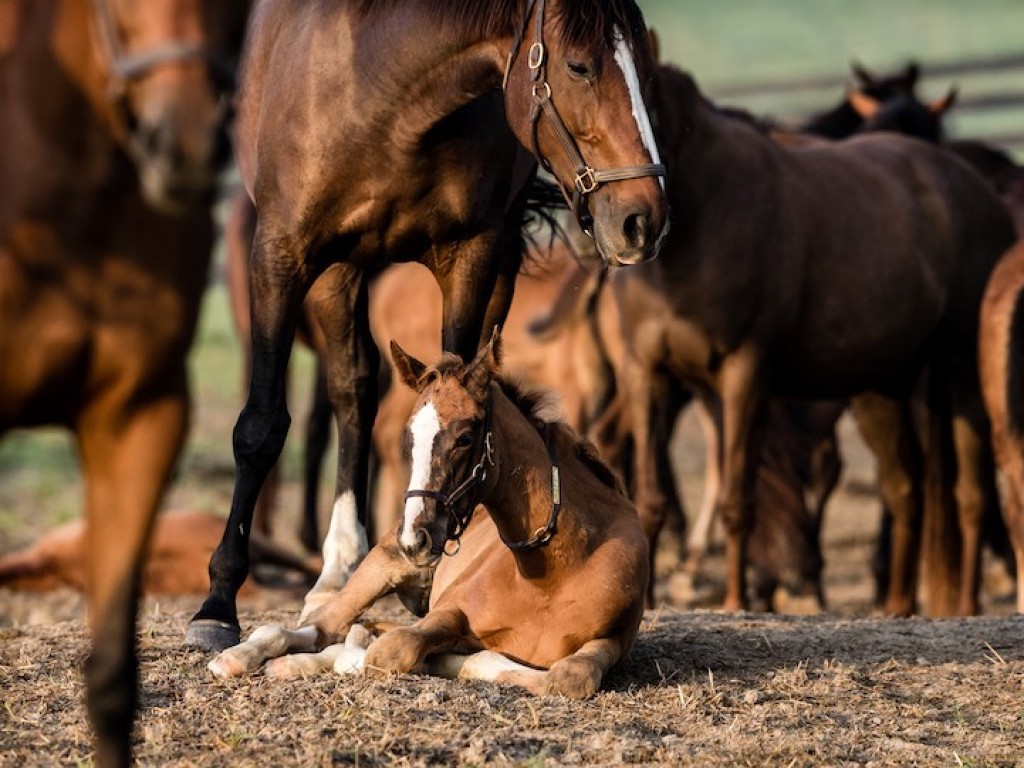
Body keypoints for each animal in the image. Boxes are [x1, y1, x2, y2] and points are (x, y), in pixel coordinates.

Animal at [187, 0, 667, 655]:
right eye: (579, 66)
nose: (644, 219)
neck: (380, 85)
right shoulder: (284, 255)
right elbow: (260, 428)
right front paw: (216, 603)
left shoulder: (471, 253)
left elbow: (460, 376)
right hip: (341, 272)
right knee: (353, 391)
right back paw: (336, 567)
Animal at [205, 333, 647, 700]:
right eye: (409, 438)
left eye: (466, 437)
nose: (414, 539)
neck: (550, 574)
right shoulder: (448, 611)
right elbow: (393, 649)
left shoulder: (612, 641)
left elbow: (569, 676)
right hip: (377, 567)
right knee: (315, 627)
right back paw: (238, 657)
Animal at [614, 64, 1015, 618]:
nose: (634, 223)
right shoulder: (648, 374)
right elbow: (650, 496)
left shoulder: (746, 377)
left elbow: (740, 495)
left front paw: (739, 599)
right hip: (883, 389)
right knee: (905, 488)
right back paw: (895, 605)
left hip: (962, 373)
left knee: (971, 493)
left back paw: (964, 605)